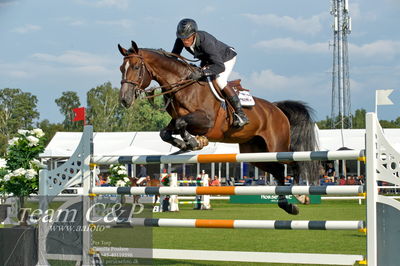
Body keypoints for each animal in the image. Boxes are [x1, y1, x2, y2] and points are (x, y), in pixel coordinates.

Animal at [118, 42, 318, 216]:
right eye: (121, 68)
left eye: (136, 67)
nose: (124, 100)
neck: (185, 87)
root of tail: (276, 108)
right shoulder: (176, 121)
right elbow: (166, 132)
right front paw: (187, 144)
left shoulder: (206, 121)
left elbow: (182, 123)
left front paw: (194, 141)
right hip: (255, 153)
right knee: (277, 171)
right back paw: (288, 206)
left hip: (277, 147)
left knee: (293, 164)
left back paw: (302, 196)